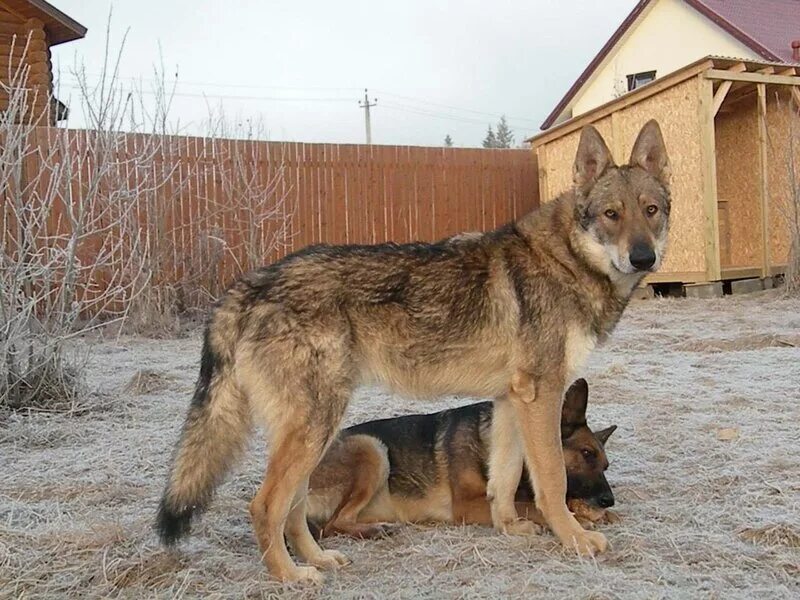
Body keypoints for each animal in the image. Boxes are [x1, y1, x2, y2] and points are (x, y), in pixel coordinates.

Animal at [155, 119, 668, 584]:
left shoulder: (511, 400)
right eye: (611, 214)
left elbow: (503, 481)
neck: (566, 261)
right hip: (316, 429)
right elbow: (552, 483)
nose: (644, 258)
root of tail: (248, 284)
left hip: (315, 432)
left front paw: (511, 529)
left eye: (651, 210)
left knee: (295, 510)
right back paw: (291, 577)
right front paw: (576, 540)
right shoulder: (541, 396)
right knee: (264, 506)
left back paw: (319, 560)